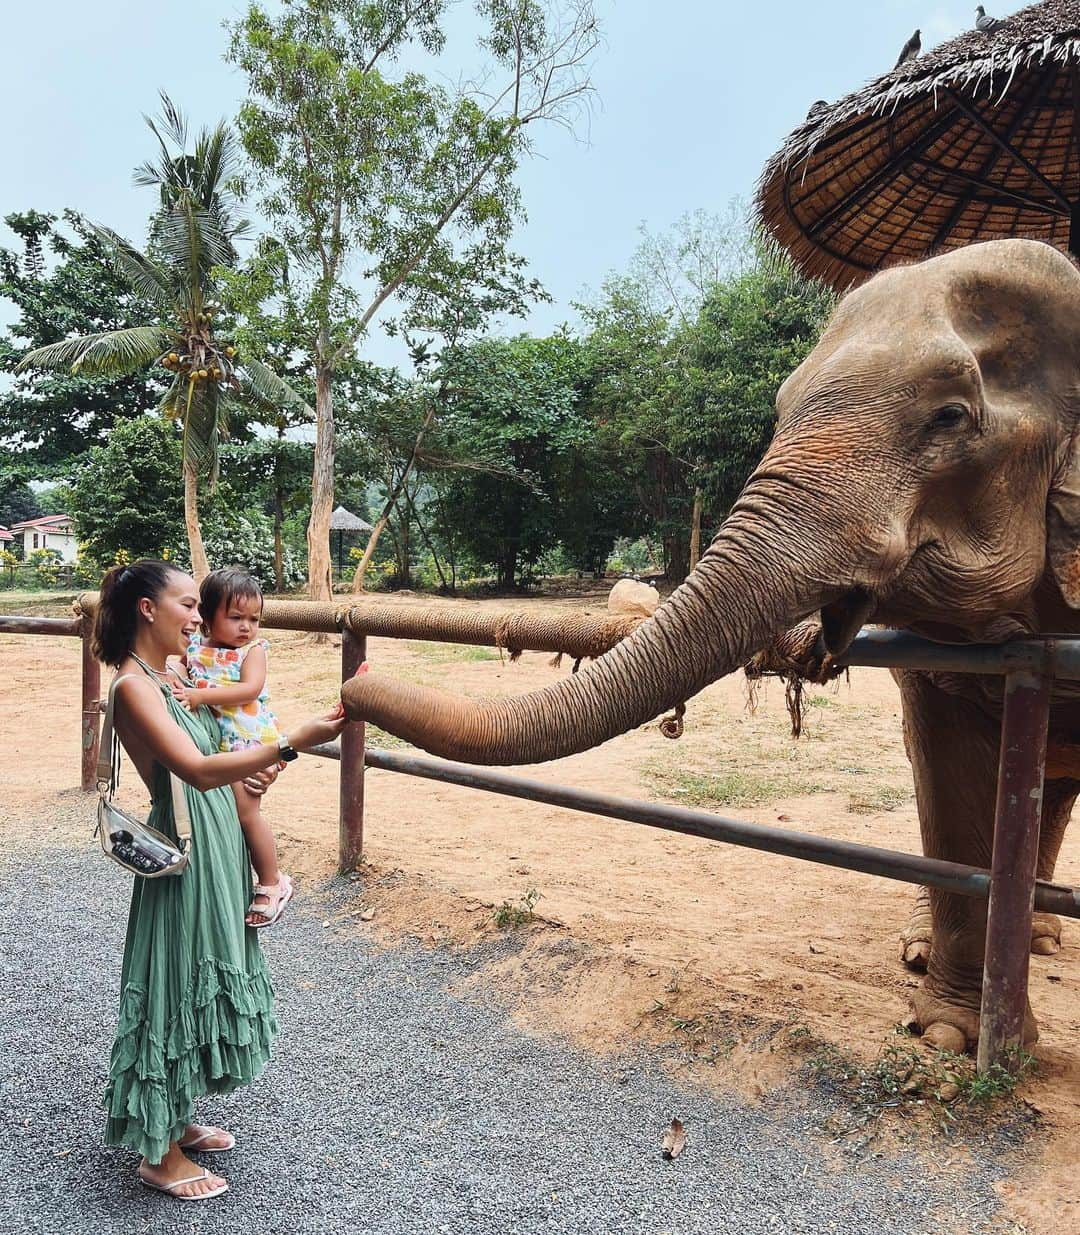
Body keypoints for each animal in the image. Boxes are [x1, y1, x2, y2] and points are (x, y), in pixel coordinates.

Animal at [343, 238, 1077, 1052]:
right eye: (781, 409)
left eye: (951, 417)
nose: (351, 681)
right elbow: (948, 762)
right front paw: (950, 1035)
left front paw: (957, 1040)